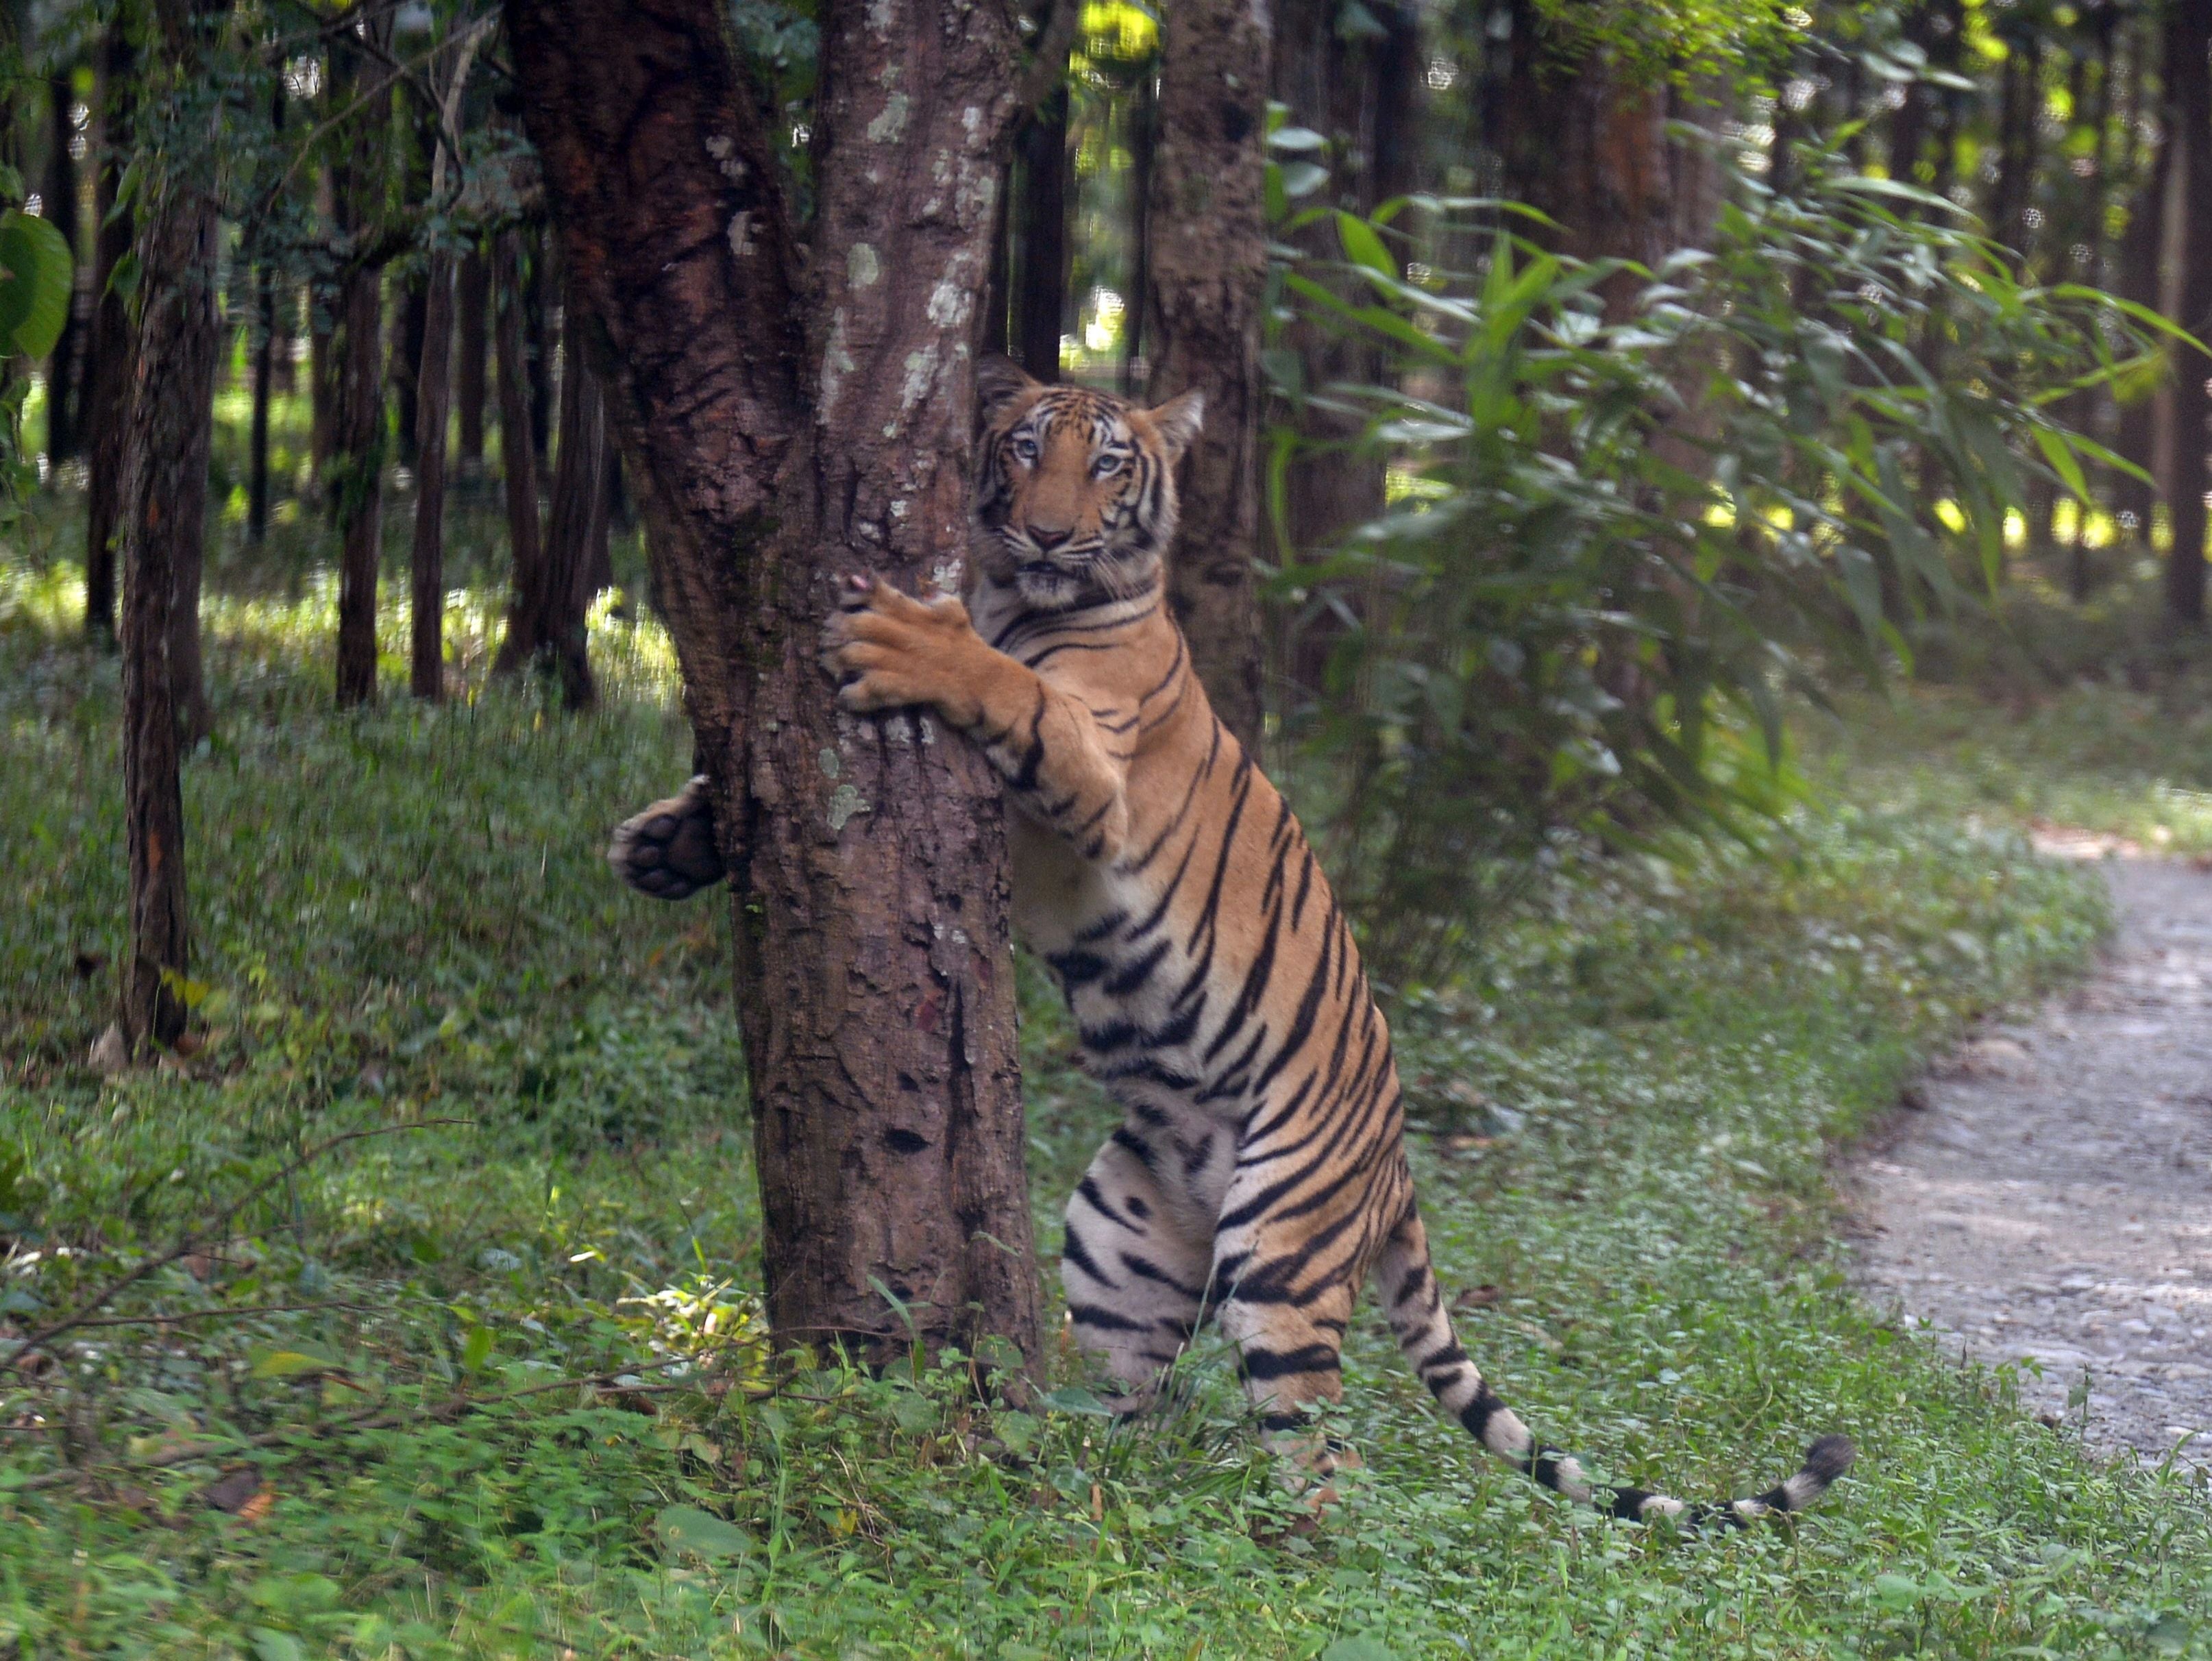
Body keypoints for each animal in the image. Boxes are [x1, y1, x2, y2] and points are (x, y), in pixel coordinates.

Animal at [602, 358, 1849, 1530]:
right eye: (1023, 448)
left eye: (1107, 464)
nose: (1045, 529)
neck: (1016, 593)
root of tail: (1398, 1168)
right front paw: (664, 844)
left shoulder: (1087, 776)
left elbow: (1007, 686)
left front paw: (910, 637)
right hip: (1117, 1238)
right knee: (1133, 1408)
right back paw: (1089, 1491)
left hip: (1281, 1244)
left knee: (1322, 1450)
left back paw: (1283, 1547)